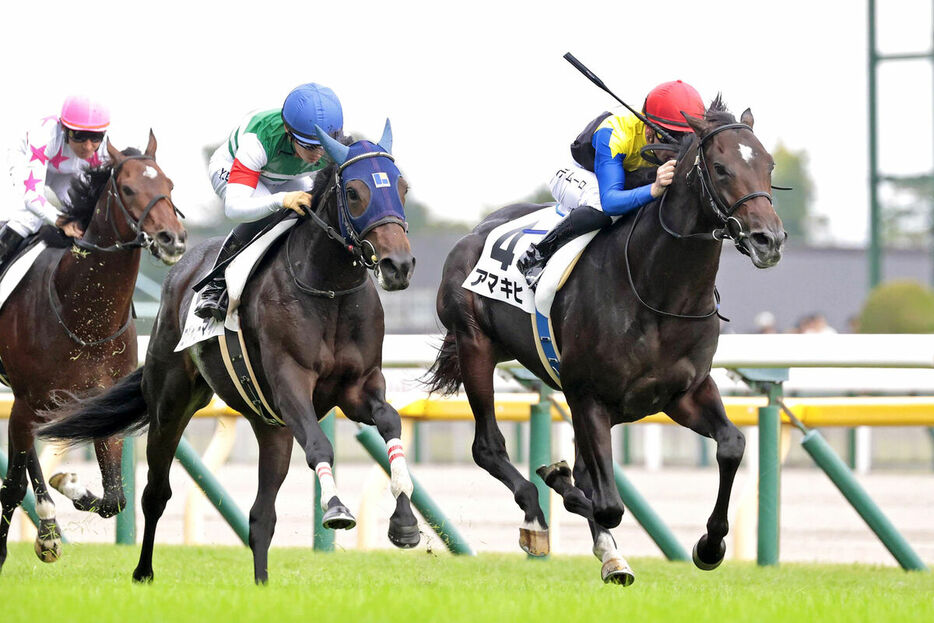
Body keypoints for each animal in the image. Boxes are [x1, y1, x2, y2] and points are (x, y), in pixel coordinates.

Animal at [0, 134, 186, 572]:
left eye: (168, 185)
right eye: (129, 189)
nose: (172, 239)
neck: (85, 318)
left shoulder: (98, 405)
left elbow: (115, 497)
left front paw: (71, 485)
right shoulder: (26, 402)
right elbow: (13, 484)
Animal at [44, 125, 416, 584]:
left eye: (401, 187)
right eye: (354, 192)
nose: (398, 265)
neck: (330, 290)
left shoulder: (359, 387)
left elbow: (391, 422)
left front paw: (405, 522)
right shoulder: (290, 384)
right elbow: (319, 446)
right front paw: (336, 508)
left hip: (271, 427)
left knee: (261, 516)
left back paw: (261, 583)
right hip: (172, 404)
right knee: (155, 493)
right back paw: (140, 568)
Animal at [428, 98, 788, 584]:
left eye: (768, 165)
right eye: (720, 167)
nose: (769, 239)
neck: (659, 292)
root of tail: (473, 233)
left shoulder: (685, 393)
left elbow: (732, 445)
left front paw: (710, 545)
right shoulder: (588, 395)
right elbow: (607, 504)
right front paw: (562, 489)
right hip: (475, 346)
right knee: (489, 447)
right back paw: (538, 518)